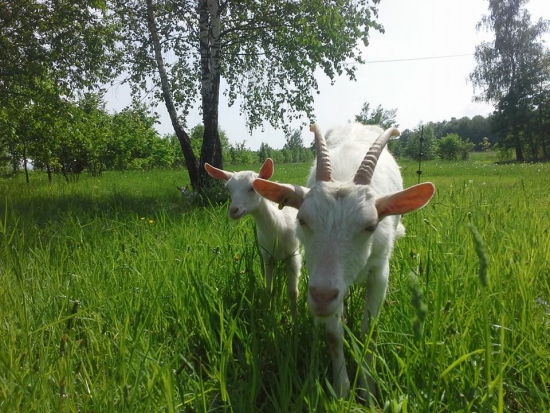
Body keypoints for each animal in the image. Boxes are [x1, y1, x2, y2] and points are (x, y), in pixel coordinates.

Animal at [206, 159, 302, 314]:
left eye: (252, 188)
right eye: (228, 188)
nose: (233, 210)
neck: (278, 225)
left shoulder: (294, 255)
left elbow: (293, 292)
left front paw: (295, 317)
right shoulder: (267, 255)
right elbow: (269, 289)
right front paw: (271, 311)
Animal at [252, 122, 438, 400]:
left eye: (371, 226)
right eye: (302, 220)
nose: (321, 297)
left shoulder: (380, 271)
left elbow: (369, 330)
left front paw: (368, 390)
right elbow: (333, 333)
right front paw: (342, 390)